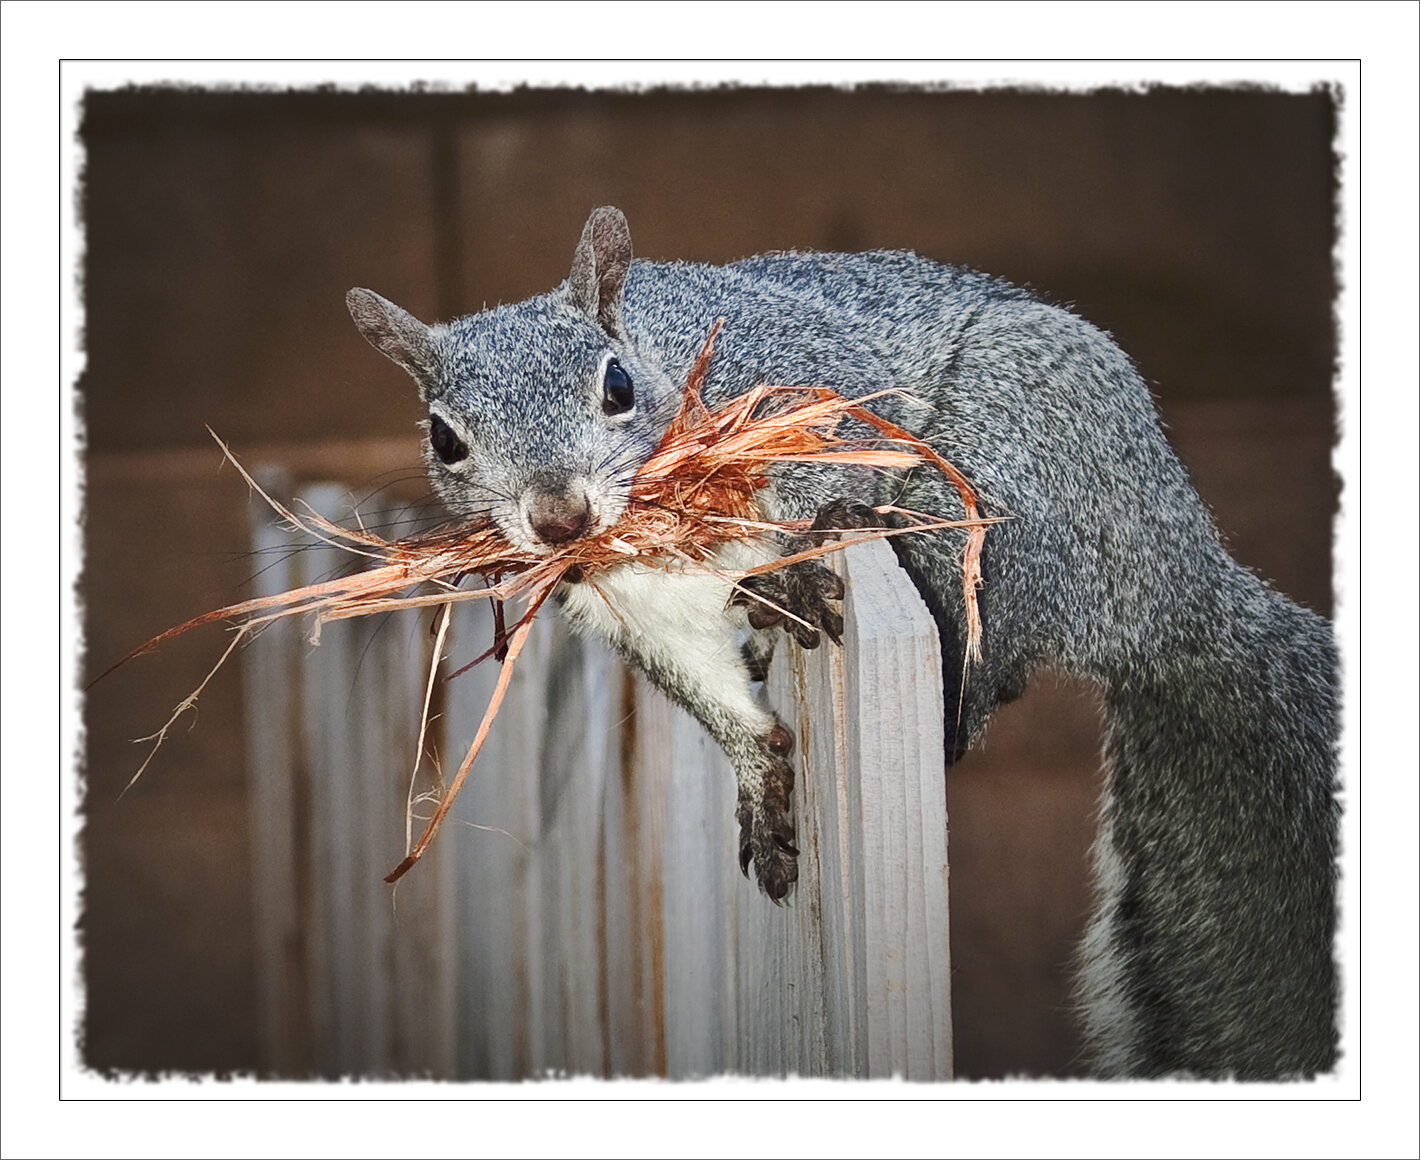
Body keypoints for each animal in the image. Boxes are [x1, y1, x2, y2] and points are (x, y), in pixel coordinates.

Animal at [346, 205, 1340, 1079]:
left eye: (616, 386)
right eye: (444, 438)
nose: (559, 518)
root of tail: (1176, 593)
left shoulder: (805, 385)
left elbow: (843, 452)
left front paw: (799, 559)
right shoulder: (633, 611)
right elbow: (715, 698)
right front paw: (762, 785)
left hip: (1017, 449)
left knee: (979, 644)